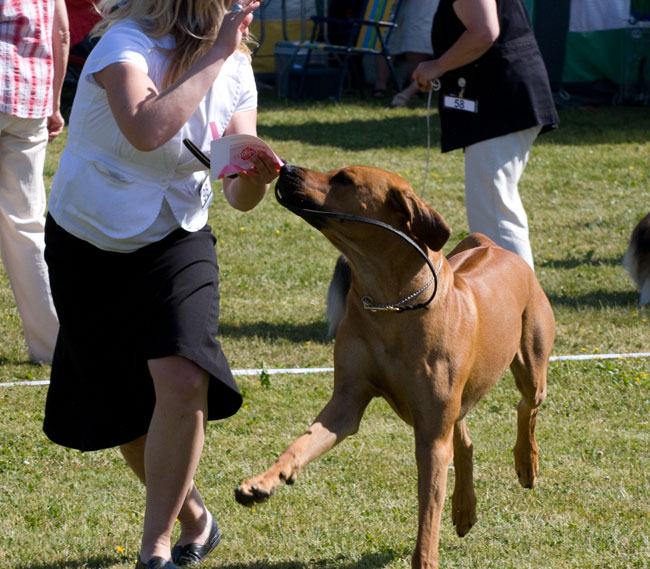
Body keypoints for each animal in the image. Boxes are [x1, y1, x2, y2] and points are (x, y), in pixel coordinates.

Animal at [235, 164, 556, 568]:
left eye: (344, 179)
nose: (287, 168)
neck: (391, 302)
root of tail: (492, 245)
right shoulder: (347, 402)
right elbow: (302, 443)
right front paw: (262, 482)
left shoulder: (431, 434)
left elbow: (428, 515)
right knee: (465, 438)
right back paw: (464, 508)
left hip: (531, 360)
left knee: (526, 405)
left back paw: (526, 462)